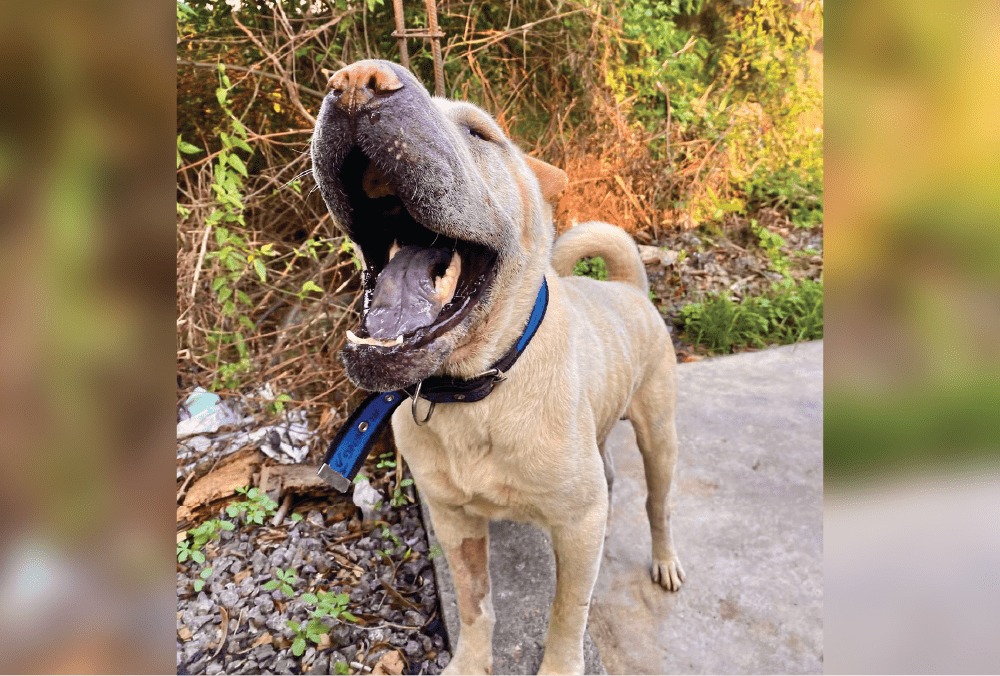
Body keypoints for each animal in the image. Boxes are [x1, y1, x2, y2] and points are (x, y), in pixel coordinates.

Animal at [312, 60, 688, 672]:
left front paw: (559, 666)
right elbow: (475, 604)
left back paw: (665, 559)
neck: (476, 389)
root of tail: (630, 287)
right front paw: (470, 662)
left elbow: (568, 612)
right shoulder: (453, 519)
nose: (354, 81)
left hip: (659, 435)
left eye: (480, 134)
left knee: (658, 504)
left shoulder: (577, 528)